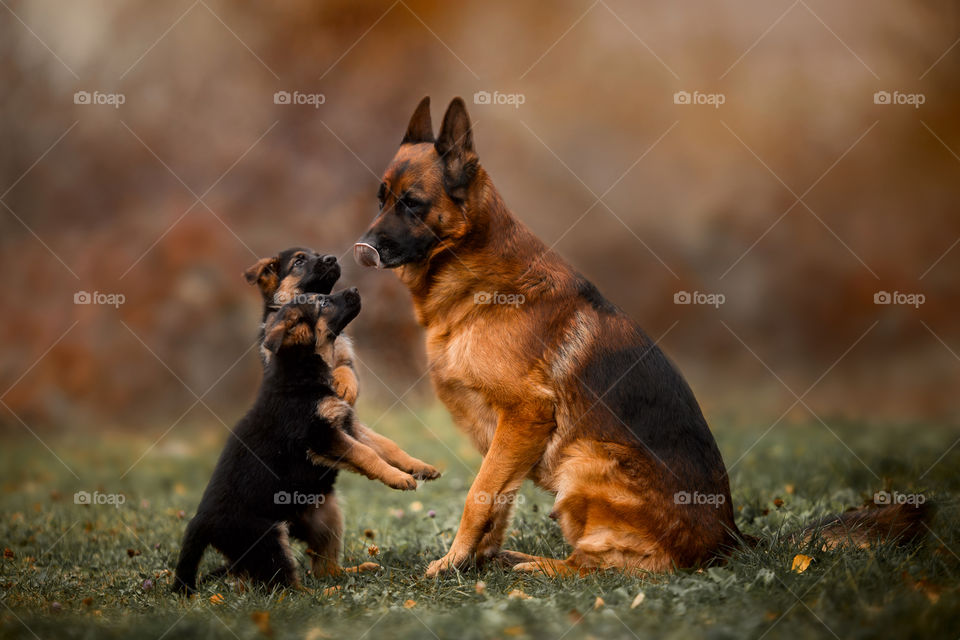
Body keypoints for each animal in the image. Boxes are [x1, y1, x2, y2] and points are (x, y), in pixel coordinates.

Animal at [174, 292, 414, 596]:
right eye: (323, 303)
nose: (355, 290)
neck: (302, 372)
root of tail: (200, 522)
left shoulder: (345, 424)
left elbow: (385, 445)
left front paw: (419, 468)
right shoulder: (321, 435)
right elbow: (367, 454)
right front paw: (399, 478)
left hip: (326, 515)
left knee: (323, 569)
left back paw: (354, 574)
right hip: (267, 539)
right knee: (289, 590)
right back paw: (328, 594)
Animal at [248, 249, 442, 480]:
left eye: (317, 254)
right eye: (299, 261)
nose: (331, 258)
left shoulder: (346, 359)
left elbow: (345, 370)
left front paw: (345, 386)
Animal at [354, 97, 928, 576]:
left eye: (412, 203)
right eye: (380, 199)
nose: (361, 248)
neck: (476, 278)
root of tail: (731, 538)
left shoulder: (524, 416)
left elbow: (478, 496)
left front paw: (451, 563)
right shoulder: (507, 439)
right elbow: (499, 500)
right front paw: (474, 559)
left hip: (585, 461)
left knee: (612, 565)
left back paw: (539, 567)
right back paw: (513, 560)